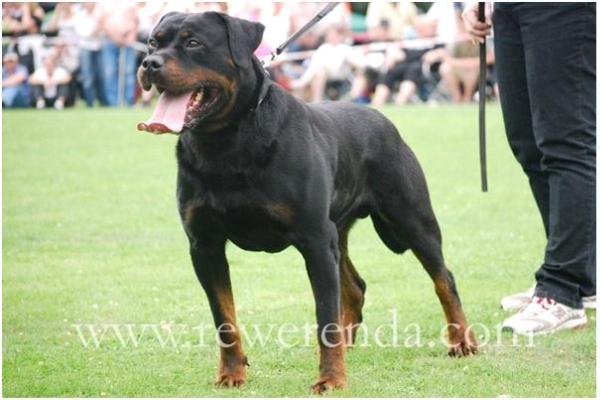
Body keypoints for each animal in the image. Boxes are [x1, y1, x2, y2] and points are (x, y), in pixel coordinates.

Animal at [137, 11, 478, 394]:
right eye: (152, 43)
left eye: (193, 42)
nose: (149, 63)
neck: (226, 143)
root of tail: (383, 119)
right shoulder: (204, 244)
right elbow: (224, 318)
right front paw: (231, 373)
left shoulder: (314, 239)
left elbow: (324, 316)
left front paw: (331, 378)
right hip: (338, 232)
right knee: (355, 287)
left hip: (410, 218)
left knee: (443, 278)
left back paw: (462, 341)